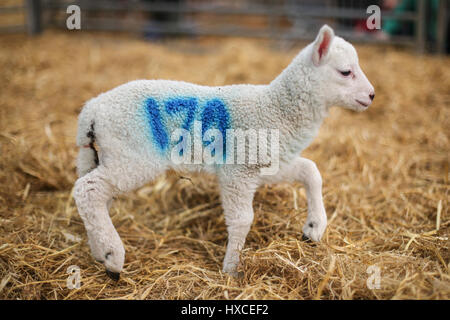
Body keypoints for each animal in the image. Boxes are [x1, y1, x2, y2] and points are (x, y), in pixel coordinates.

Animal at [74, 25, 376, 280]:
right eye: (346, 72)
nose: (372, 95)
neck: (276, 109)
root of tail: (92, 109)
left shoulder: (267, 164)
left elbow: (311, 172)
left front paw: (314, 228)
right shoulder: (238, 171)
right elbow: (243, 219)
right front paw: (232, 269)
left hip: (104, 155)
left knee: (94, 198)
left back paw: (99, 252)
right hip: (133, 153)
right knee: (87, 190)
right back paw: (113, 257)